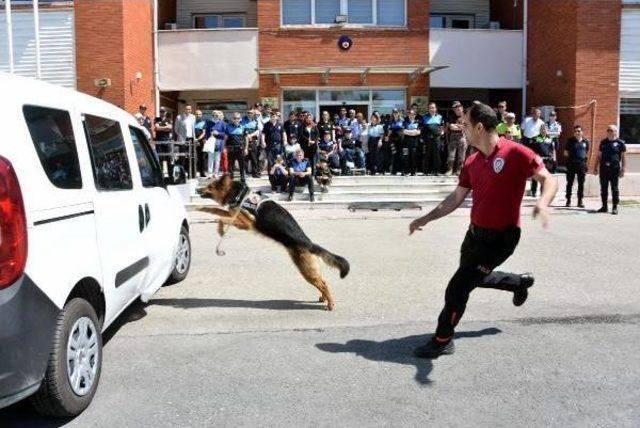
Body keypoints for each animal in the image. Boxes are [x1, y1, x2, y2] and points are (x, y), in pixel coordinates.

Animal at [199, 175, 350, 310]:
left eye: (210, 186)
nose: (197, 189)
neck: (239, 194)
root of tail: (310, 244)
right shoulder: (234, 215)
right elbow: (216, 211)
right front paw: (202, 208)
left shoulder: (246, 223)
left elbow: (222, 218)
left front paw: (220, 230)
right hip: (310, 270)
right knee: (323, 281)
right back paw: (324, 299)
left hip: (307, 270)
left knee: (323, 284)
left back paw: (330, 304)